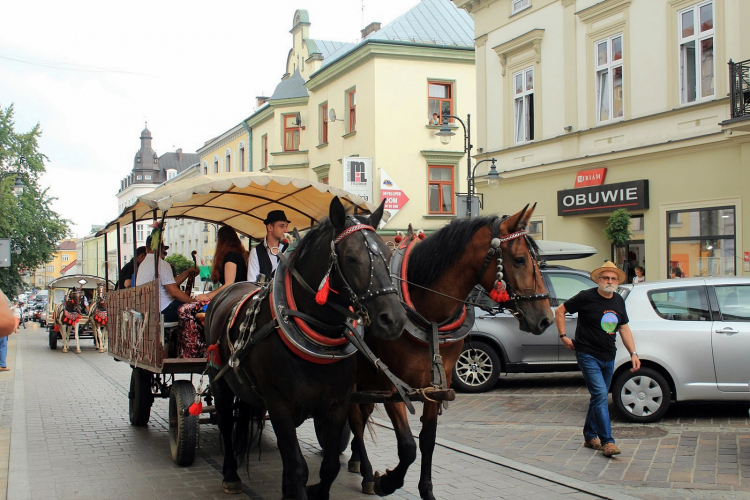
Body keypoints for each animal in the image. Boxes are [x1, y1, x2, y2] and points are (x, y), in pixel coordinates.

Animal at [206, 197, 408, 498]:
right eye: (351, 257)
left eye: (385, 252)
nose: (393, 319)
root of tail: (228, 290)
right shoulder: (279, 406)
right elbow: (297, 467)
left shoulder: (337, 405)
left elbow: (329, 466)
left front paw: (311, 489)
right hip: (219, 382)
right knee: (225, 421)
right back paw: (230, 474)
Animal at [350, 204, 556, 500]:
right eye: (519, 260)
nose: (545, 319)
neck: (427, 315)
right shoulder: (392, 386)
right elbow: (408, 446)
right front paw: (386, 482)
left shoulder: (437, 383)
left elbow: (428, 440)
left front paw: (426, 491)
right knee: (356, 419)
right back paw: (367, 473)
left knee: (362, 414)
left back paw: (356, 461)